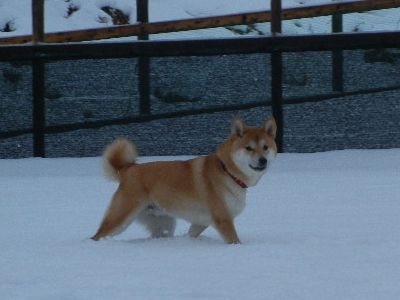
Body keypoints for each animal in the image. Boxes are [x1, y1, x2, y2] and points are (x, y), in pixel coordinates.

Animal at [92, 117, 276, 244]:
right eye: (249, 148)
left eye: (265, 147)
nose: (263, 161)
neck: (227, 172)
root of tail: (127, 169)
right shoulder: (223, 219)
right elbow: (235, 241)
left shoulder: (200, 222)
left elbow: (191, 234)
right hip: (120, 219)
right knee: (97, 235)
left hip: (164, 224)